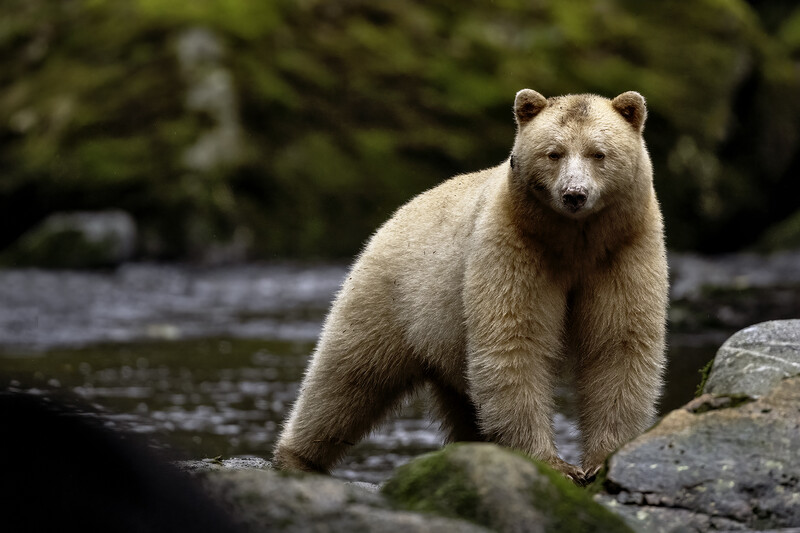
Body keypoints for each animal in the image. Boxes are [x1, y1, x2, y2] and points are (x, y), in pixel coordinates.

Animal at [273, 89, 668, 482]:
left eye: (598, 153)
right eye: (554, 152)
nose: (574, 194)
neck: (574, 241)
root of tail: (401, 211)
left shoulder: (623, 250)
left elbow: (617, 342)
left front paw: (603, 459)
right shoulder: (513, 245)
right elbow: (514, 339)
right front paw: (555, 463)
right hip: (393, 292)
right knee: (347, 375)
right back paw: (297, 457)